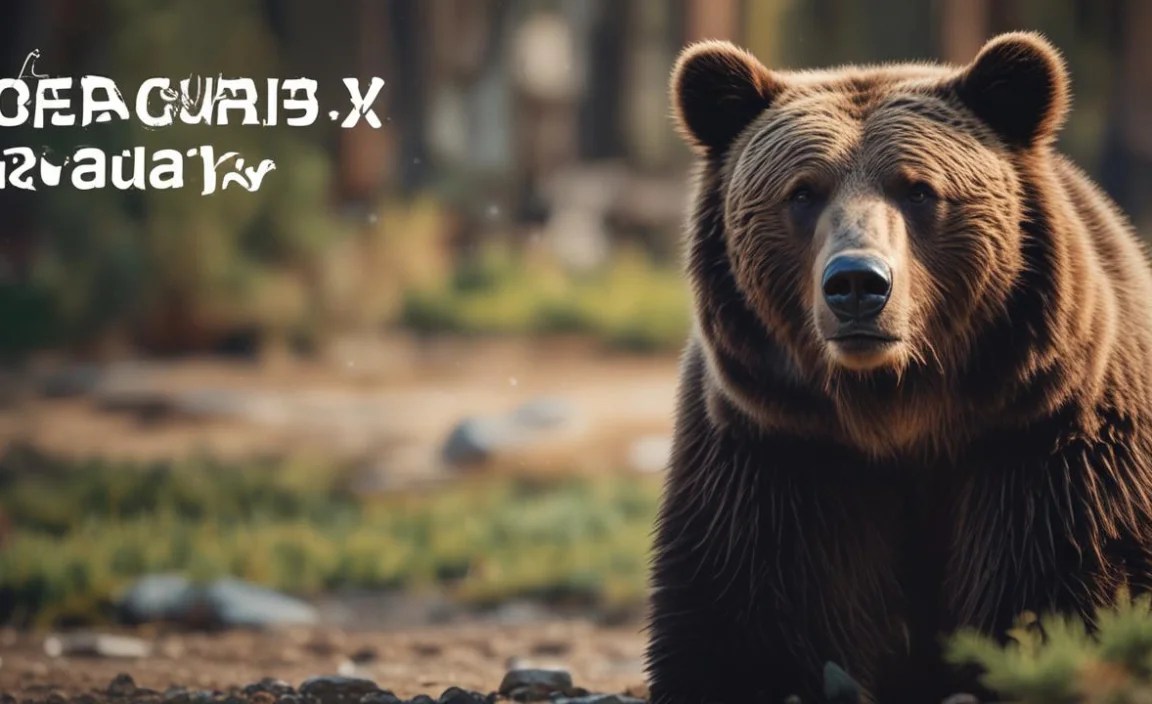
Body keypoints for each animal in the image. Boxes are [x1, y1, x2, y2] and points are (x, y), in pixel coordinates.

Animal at [645, 31, 1152, 704]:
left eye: (919, 189)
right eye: (802, 191)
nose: (858, 283)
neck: (898, 407)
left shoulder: (1045, 433)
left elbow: (1061, 577)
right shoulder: (776, 445)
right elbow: (748, 607)